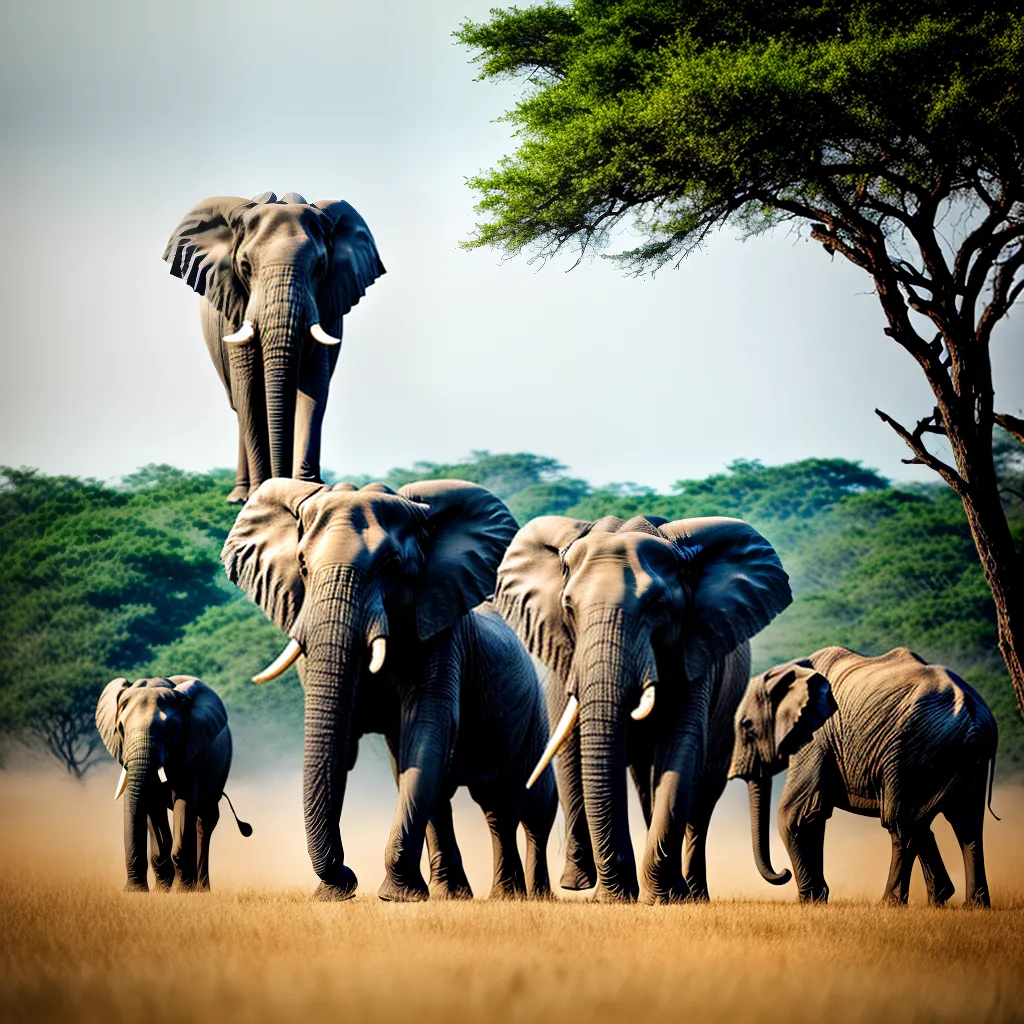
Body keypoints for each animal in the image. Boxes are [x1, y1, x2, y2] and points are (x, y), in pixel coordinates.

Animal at [95, 675, 251, 892]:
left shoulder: (190, 750)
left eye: (168, 730)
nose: (131, 888)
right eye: (120, 729)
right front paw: (152, 892)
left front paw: (181, 892)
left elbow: (183, 803)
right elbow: (151, 806)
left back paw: (200, 889)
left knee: (205, 819)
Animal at [163, 191, 385, 503]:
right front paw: (260, 493)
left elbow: (313, 389)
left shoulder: (326, 307)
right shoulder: (235, 308)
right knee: (240, 406)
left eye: (319, 267)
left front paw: (308, 489)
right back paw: (240, 497)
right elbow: (249, 390)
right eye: (245, 267)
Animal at [221, 477, 557, 902]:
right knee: (454, 796)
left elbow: (426, 731)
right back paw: (456, 894)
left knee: (517, 803)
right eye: (302, 565)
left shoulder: (441, 637)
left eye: (393, 566)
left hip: (533, 712)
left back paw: (514, 896)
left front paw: (395, 897)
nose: (347, 877)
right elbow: (364, 747)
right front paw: (359, 895)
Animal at [494, 513, 792, 903]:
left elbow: (680, 749)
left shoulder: (694, 650)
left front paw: (657, 899)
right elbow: (577, 751)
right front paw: (606, 893)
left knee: (701, 794)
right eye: (568, 606)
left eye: (658, 606)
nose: (613, 890)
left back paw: (690, 893)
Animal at [728, 647, 999, 906]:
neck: (792, 669)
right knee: (963, 825)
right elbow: (815, 815)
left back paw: (891, 902)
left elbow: (795, 815)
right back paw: (965, 903)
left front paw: (809, 900)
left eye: (746, 725)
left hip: (913, 749)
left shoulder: (816, 739)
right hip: (958, 758)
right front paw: (818, 899)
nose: (783, 873)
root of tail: (972, 711)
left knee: (902, 823)